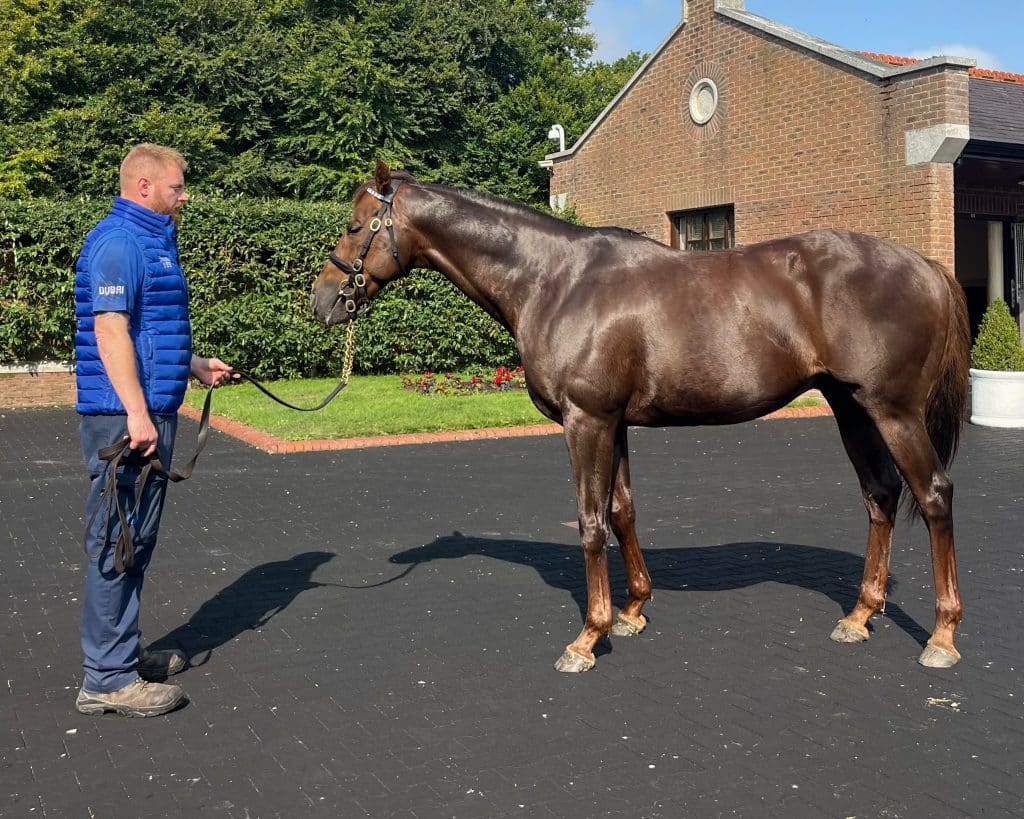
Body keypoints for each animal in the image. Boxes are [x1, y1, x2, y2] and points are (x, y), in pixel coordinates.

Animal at [311, 161, 971, 673]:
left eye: (354, 226)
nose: (321, 304)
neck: (555, 280)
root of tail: (926, 265)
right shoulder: (615, 423)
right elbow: (622, 511)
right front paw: (632, 611)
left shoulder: (587, 421)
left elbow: (589, 521)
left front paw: (588, 636)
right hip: (851, 407)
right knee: (880, 495)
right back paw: (860, 615)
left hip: (893, 413)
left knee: (933, 495)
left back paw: (941, 636)